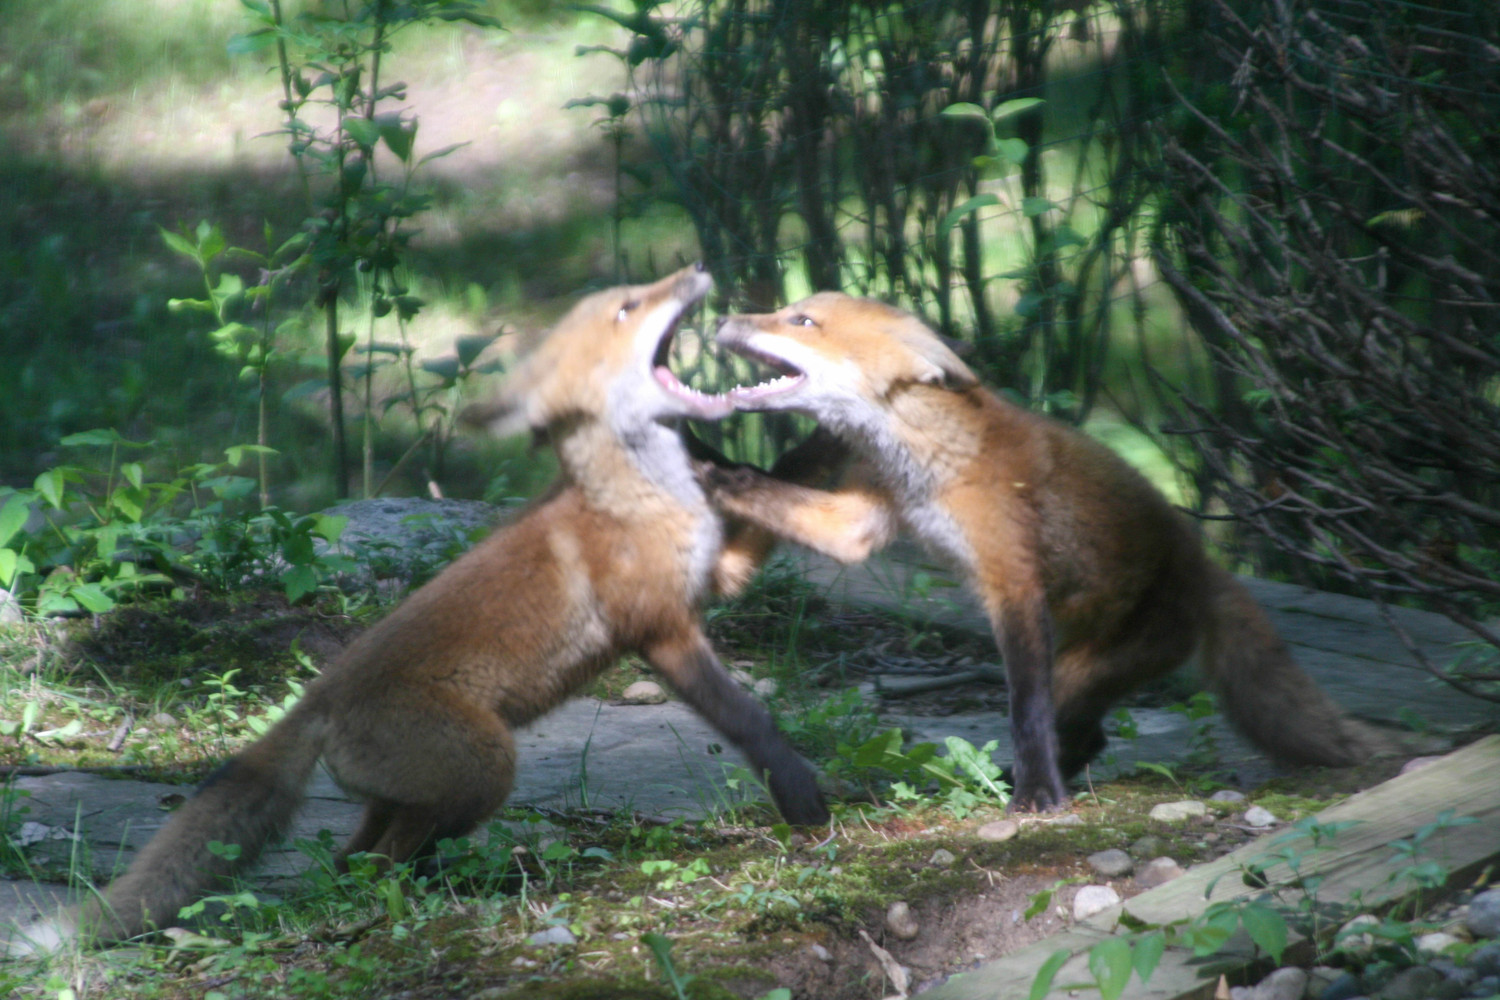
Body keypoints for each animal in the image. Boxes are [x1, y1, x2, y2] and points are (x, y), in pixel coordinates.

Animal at [5, 265, 828, 953]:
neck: (634, 493)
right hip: (487, 766)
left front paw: (813, 454)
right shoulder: (661, 628)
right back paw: (443, 893)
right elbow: (748, 720)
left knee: (350, 858)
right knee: (380, 863)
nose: (695, 270)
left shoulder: (714, 577)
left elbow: (775, 508)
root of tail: (317, 701)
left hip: (416, 790)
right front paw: (800, 792)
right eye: (629, 307)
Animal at [702, 290, 1380, 815]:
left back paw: (1028, 781)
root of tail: (1201, 564)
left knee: (1076, 731)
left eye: (801, 321)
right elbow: (774, 493)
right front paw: (715, 469)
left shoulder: (1013, 579)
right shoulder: (862, 519)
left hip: (1081, 670)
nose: (720, 319)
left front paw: (1035, 798)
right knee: (1090, 738)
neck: (930, 455)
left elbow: (1022, 707)